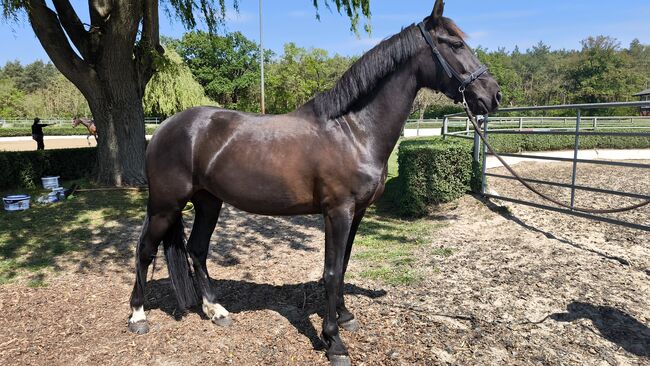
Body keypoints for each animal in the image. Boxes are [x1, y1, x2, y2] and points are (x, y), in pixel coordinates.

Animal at [128, 1, 502, 364]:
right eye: (455, 44)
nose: (493, 95)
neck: (353, 131)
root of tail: (164, 127)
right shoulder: (337, 212)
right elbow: (332, 271)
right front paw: (333, 341)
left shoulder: (357, 213)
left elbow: (344, 265)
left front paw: (345, 317)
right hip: (165, 205)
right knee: (145, 249)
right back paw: (137, 316)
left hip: (208, 201)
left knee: (197, 249)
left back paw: (216, 311)